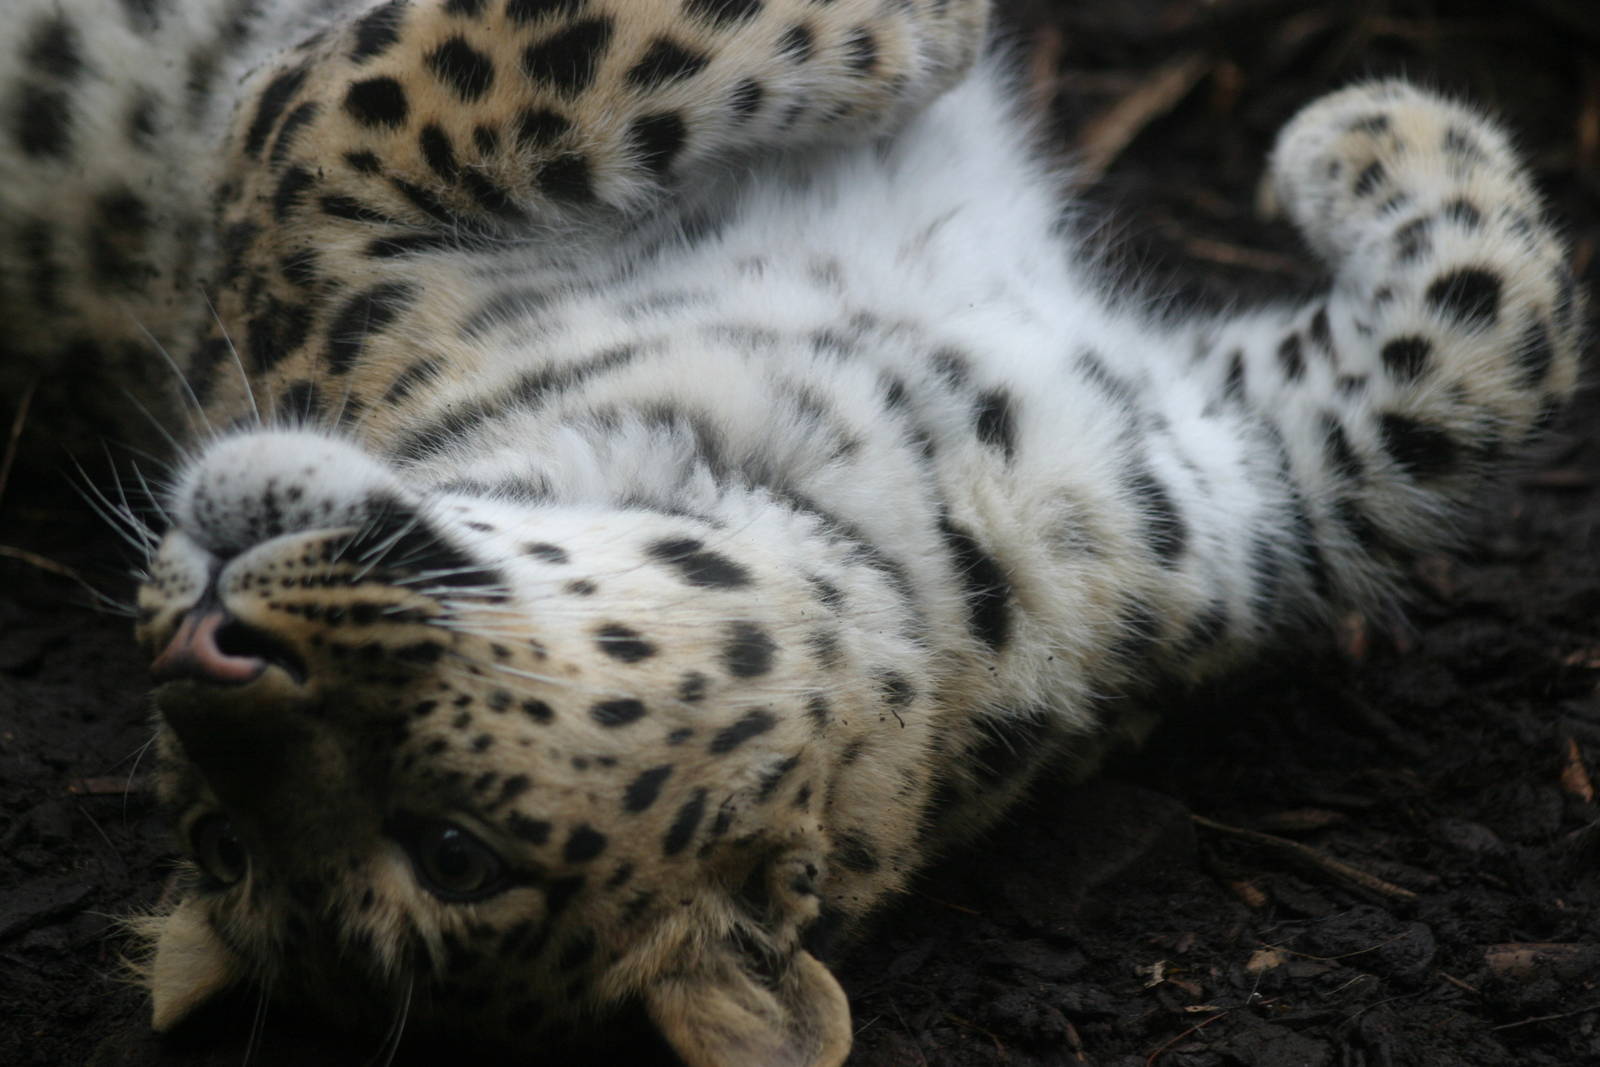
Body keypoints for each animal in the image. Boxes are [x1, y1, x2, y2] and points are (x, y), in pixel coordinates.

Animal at [0, 1, 1584, 1064]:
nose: (204, 646)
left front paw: (1366, 139)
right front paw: (940, 29)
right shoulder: (304, 183)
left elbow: (1486, 350)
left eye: (448, 851)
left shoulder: (1228, 483)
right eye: (218, 837)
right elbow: (495, 57)